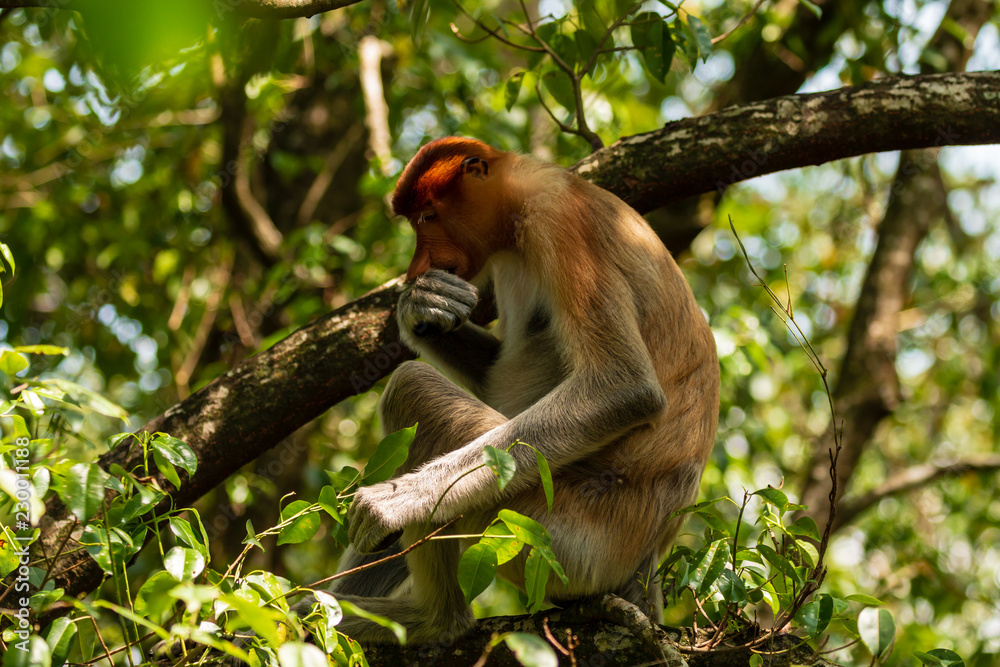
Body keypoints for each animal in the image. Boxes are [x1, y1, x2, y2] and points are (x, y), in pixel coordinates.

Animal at [327, 136, 721, 645]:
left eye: (427, 217)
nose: (419, 267)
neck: (518, 206)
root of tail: (646, 561)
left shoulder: (558, 220)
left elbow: (624, 386)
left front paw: (395, 502)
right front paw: (423, 304)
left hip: (558, 535)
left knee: (412, 388)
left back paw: (433, 620)